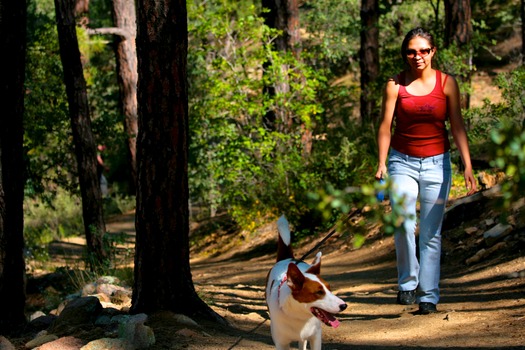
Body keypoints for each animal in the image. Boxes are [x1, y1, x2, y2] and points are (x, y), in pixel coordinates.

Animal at [264, 216, 346, 350]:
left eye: (329, 289)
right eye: (319, 292)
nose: (344, 306)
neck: (298, 316)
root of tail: (288, 259)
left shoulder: (315, 337)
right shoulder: (281, 343)